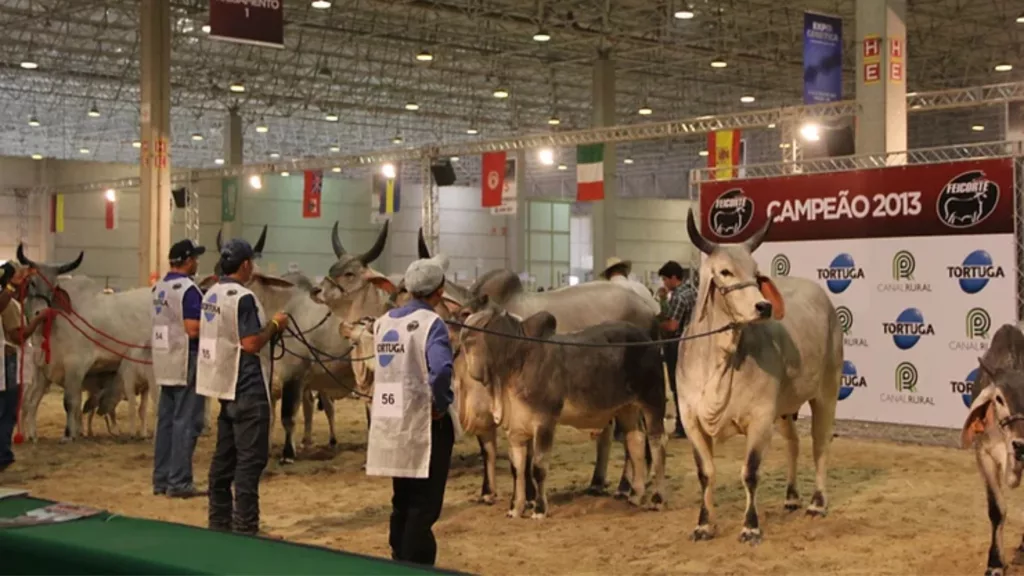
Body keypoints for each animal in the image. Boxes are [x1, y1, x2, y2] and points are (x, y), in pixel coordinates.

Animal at [16, 245, 155, 438]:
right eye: (32, 282)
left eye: (54, 287)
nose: (41, 312)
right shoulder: (43, 368)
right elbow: (32, 401)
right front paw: (32, 435)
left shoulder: (76, 365)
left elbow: (70, 402)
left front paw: (69, 434)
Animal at [458, 301, 667, 516]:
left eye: (471, 337)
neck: (518, 361)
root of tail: (648, 340)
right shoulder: (515, 428)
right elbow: (517, 468)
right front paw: (515, 509)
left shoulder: (544, 422)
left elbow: (538, 467)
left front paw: (539, 509)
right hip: (627, 408)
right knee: (635, 441)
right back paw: (635, 495)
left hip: (653, 401)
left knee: (657, 443)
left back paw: (657, 499)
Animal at [679, 210, 839, 541]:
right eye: (725, 271)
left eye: (755, 272)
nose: (763, 306)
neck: (720, 360)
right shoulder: (690, 420)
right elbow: (705, 473)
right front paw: (704, 524)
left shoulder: (761, 417)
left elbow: (750, 472)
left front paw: (750, 526)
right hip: (786, 407)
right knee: (794, 442)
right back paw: (791, 497)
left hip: (827, 392)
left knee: (820, 443)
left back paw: (817, 503)